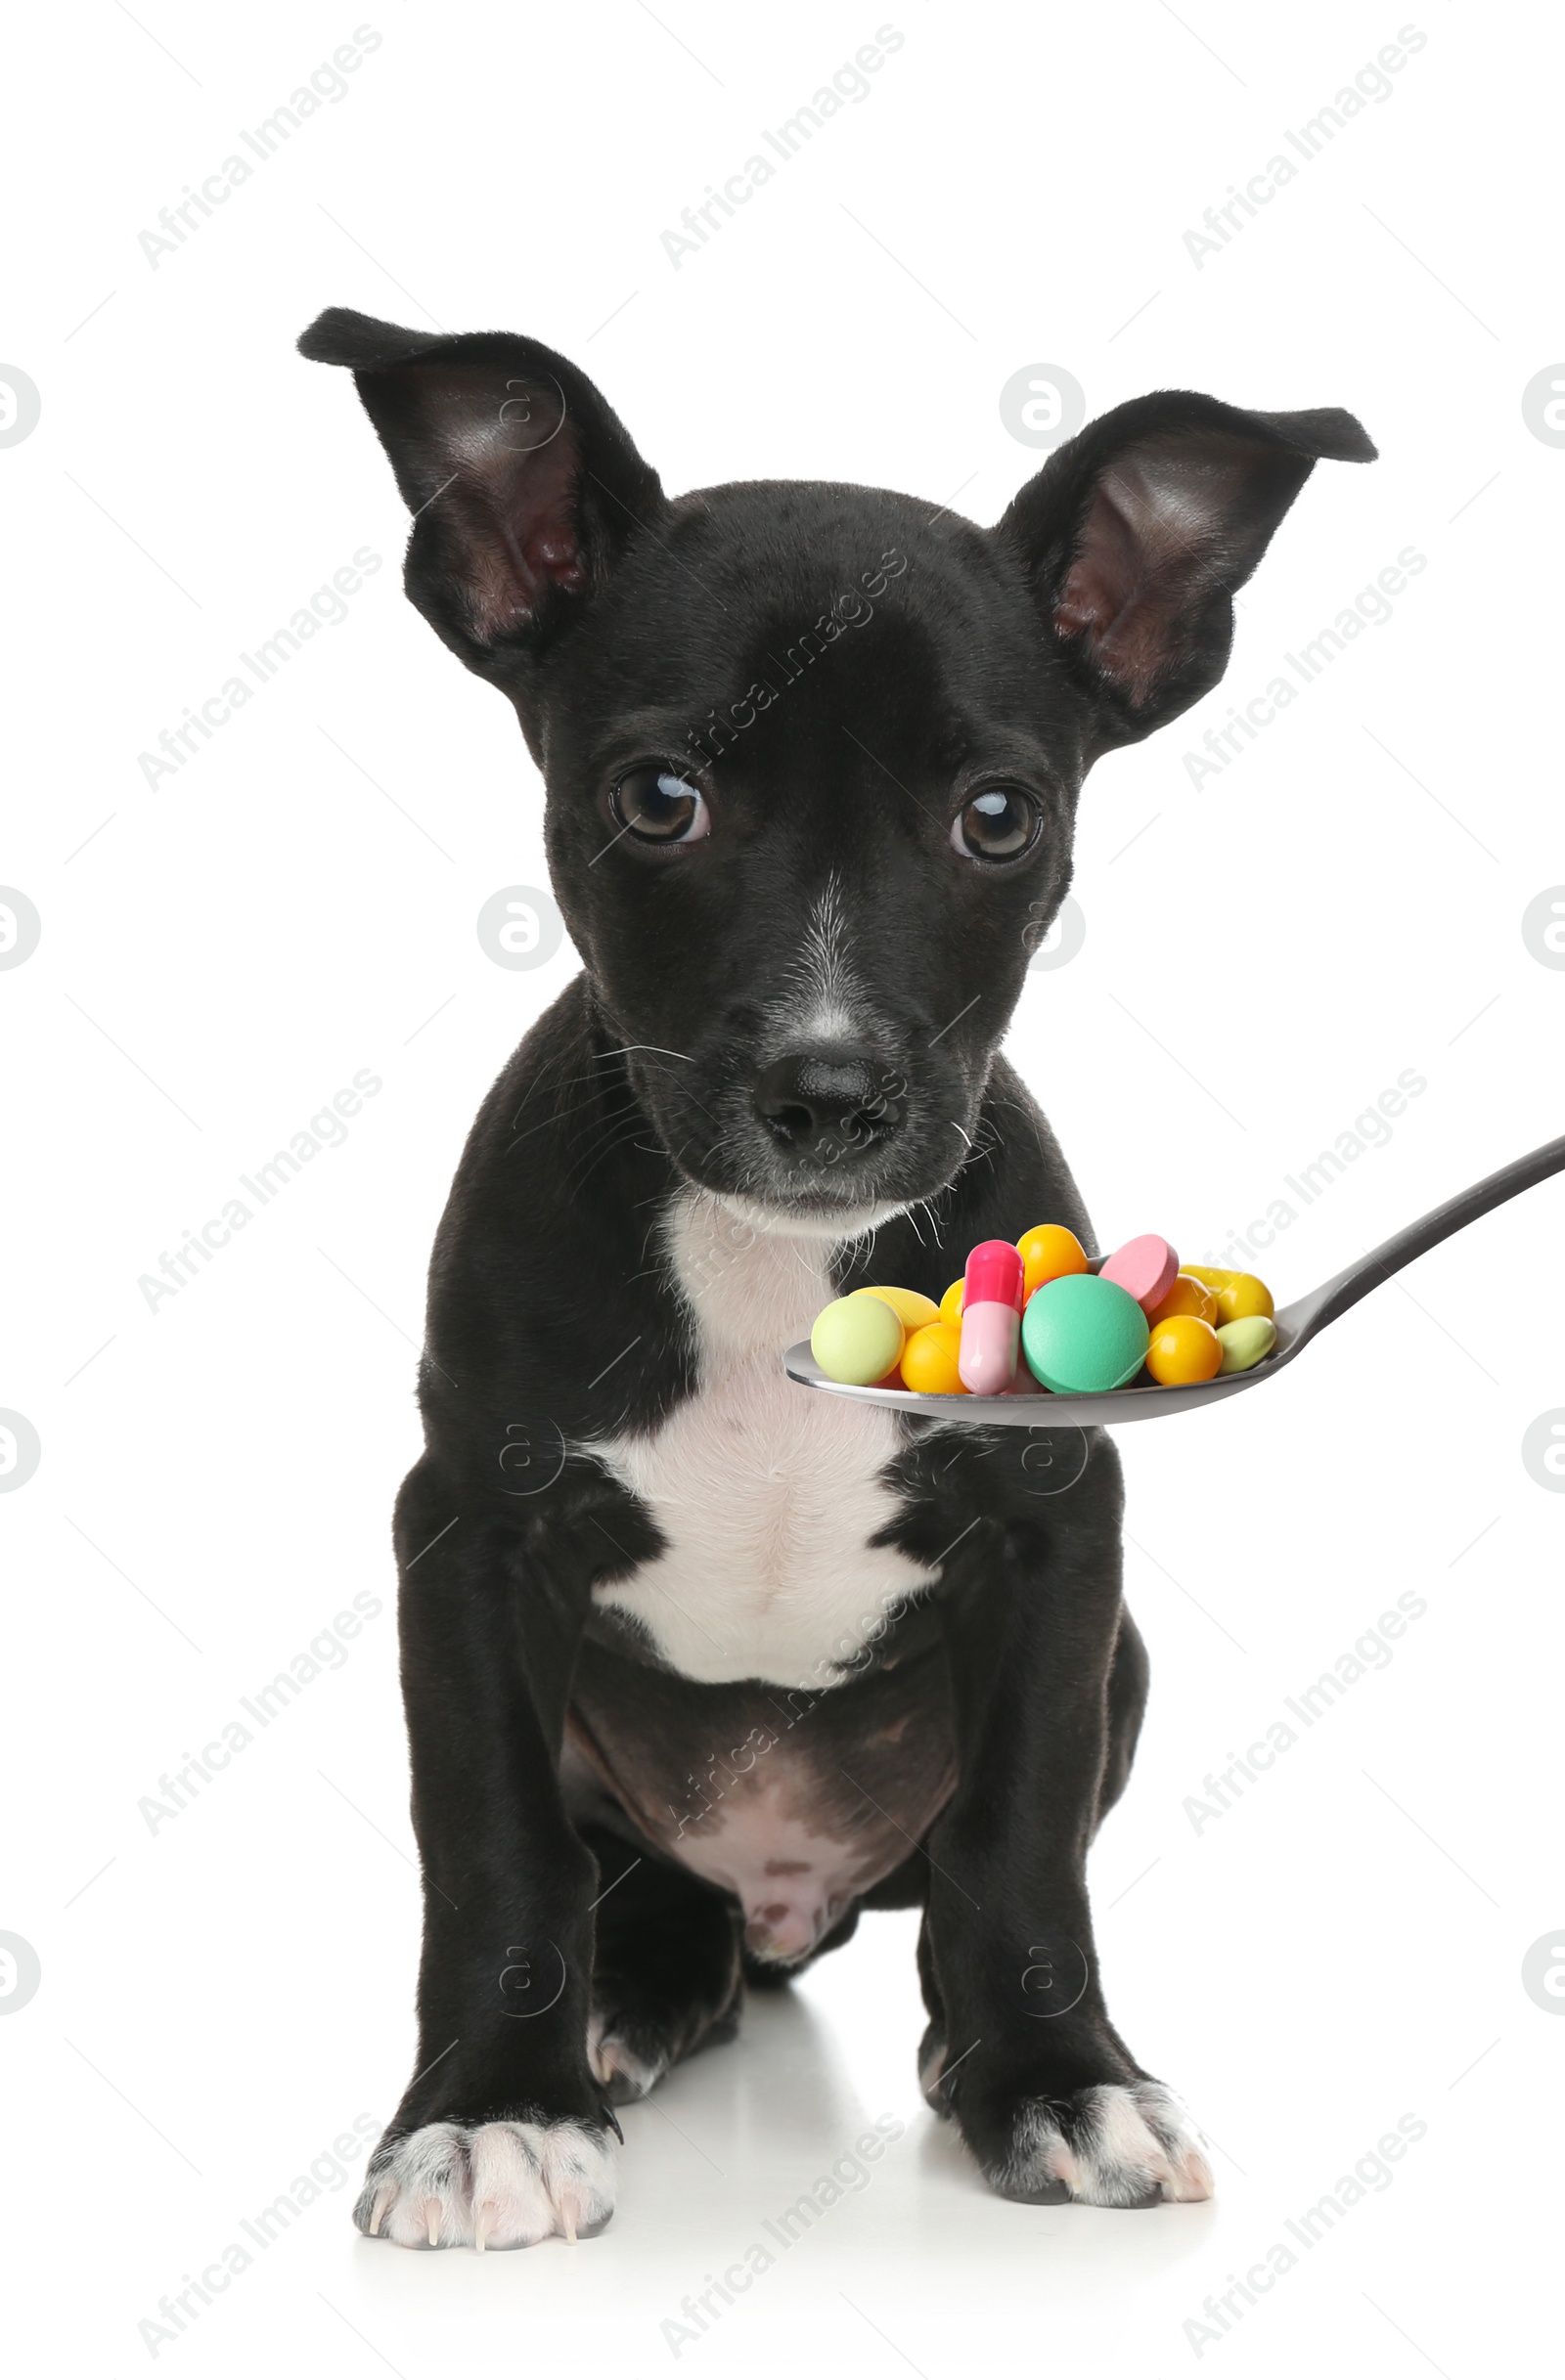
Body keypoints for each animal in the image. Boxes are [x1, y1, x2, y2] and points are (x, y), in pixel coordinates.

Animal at [296, 302, 1371, 2246]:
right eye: (660, 798)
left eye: (1000, 814)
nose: (828, 1090)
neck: (771, 1261)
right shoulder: (467, 1533)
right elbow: (492, 1844)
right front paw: (493, 2105)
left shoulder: (1057, 1533)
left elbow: (1020, 1844)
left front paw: (1058, 2077)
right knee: (638, 1880)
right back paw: (640, 1984)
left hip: (1122, 1666)